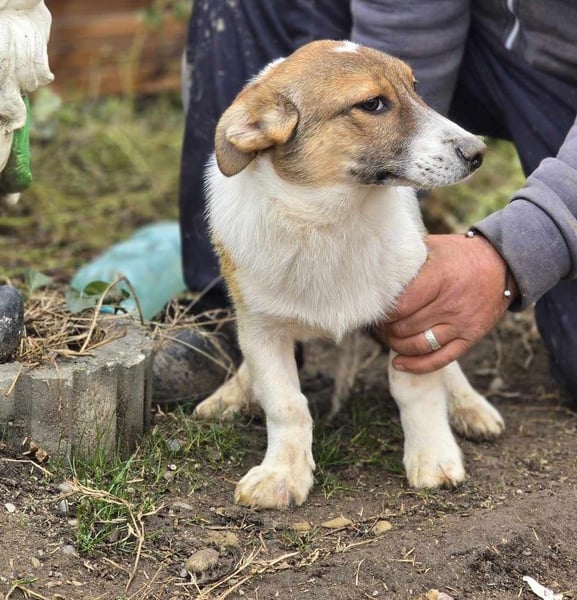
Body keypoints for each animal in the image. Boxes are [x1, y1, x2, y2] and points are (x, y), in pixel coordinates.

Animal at [194, 40, 505, 509]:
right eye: (373, 104)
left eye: (416, 88)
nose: (479, 152)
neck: (328, 222)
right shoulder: (261, 329)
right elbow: (286, 404)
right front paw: (282, 473)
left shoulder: (413, 316)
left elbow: (417, 390)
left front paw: (432, 456)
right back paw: (230, 394)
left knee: (448, 363)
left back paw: (470, 406)